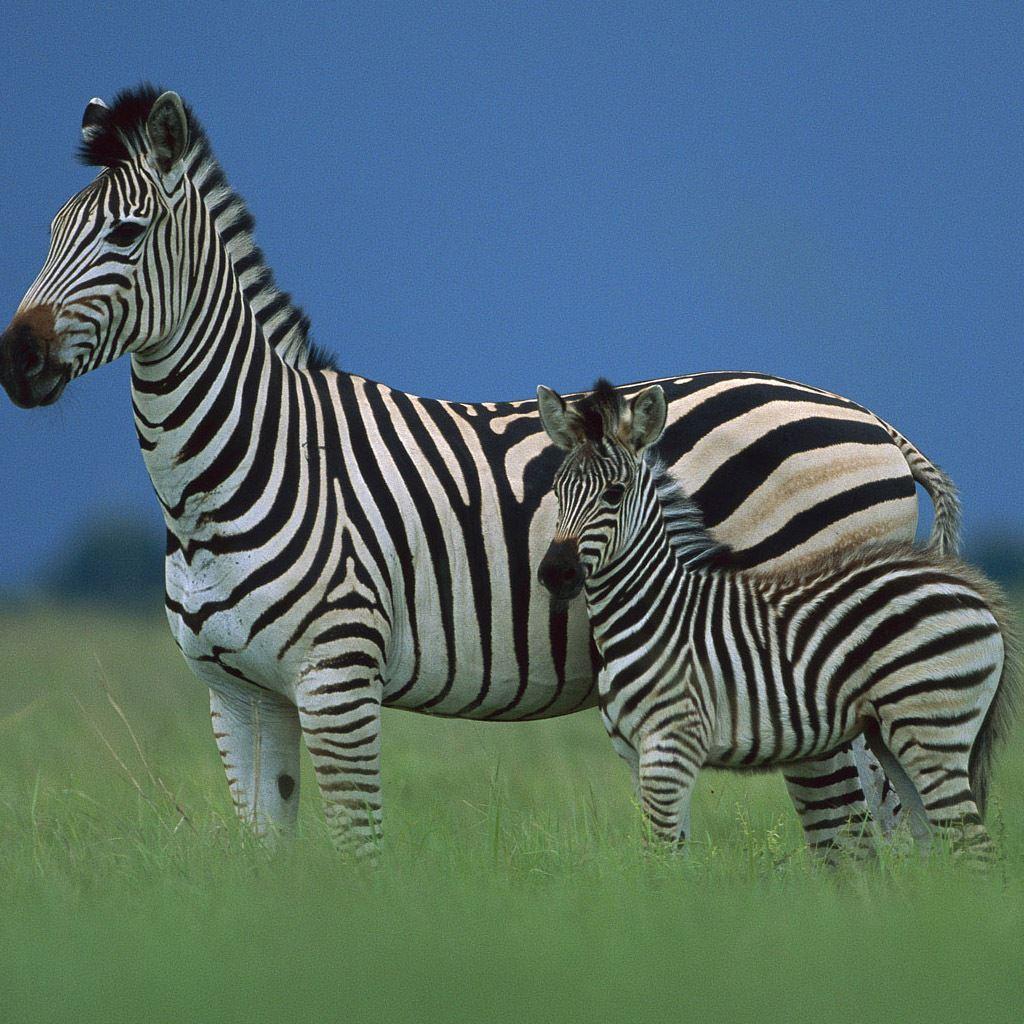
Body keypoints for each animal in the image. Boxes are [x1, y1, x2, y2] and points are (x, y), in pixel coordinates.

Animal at [0, 85, 961, 857]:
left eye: (126, 235)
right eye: (49, 234)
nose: (16, 359)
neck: (240, 467)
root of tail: (871, 421)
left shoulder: (338, 678)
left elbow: (359, 855)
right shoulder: (236, 695)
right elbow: (269, 864)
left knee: (859, 838)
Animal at [536, 380, 1018, 861]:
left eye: (614, 493)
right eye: (556, 490)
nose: (556, 573)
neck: (654, 609)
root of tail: (972, 589)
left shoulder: (671, 744)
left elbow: (661, 860)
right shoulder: (637, 754)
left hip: (930, 726)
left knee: (973, 847)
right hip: (895, 735)